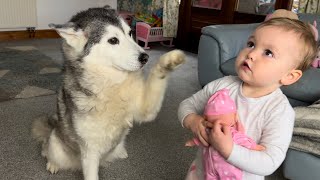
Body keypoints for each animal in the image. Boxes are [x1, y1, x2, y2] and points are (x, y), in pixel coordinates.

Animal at [32, 5, 185, 180]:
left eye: (130, 33)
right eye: (113, 40)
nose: (145, 57)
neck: (111, 84)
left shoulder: (146, 109)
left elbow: (156, 76)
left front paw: (170, 60)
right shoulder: (90, 150)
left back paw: (121, 152)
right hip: (56, 144)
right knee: (46, 150)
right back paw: (52, 164)